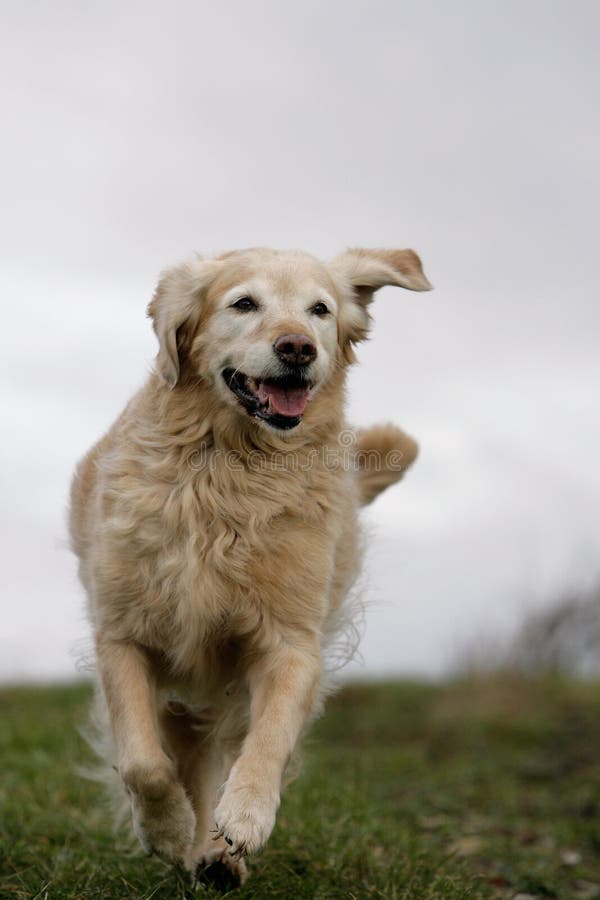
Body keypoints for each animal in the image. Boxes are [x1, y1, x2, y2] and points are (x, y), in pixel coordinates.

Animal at [69, 246, 426, 884]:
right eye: (243, 303)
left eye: (319, 310)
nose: (298, 348)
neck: (230, 469)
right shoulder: (123, 635)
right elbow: (142, 763)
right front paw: (165, 829)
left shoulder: (291, 642)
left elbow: (270, 739)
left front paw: (246, 816)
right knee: (184, 760)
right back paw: (192, 840)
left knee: (232, 747)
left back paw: (217, 854)